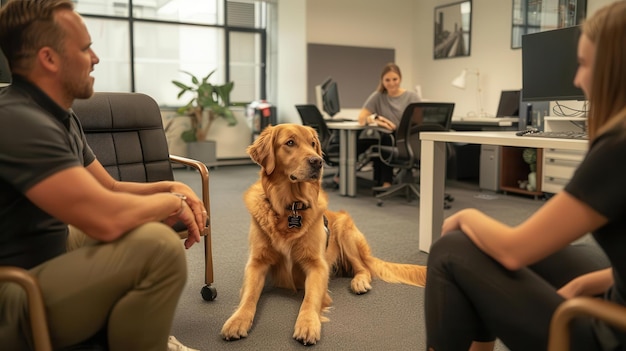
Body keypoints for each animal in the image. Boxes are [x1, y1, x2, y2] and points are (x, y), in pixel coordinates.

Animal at [219, 124, 424, 346]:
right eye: (290, 142)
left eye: (312, 144)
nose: (318, 162)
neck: (291, 207)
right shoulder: (257, 262)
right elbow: (249, 295)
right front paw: (237, 320)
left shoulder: (318, 265)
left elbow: (310, 298)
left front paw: (308, 324)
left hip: (344, 230)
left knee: (364, 268)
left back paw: (359, 282)